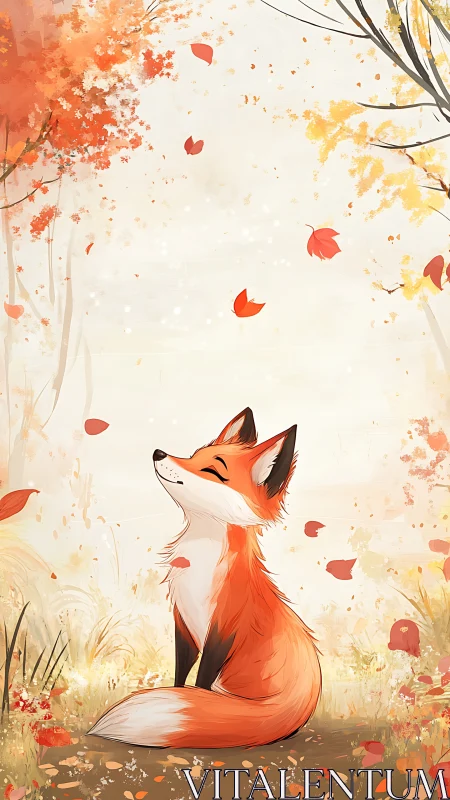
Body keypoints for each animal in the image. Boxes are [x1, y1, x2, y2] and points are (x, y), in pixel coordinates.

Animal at [88, 408, 321, 748]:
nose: (158, 453)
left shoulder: (224, 627)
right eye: (194, 454)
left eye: (211, 469)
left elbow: (200, 682)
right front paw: (181, 695)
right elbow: (181, 675)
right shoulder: (182, 621)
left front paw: (194, 703)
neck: (198, 564)